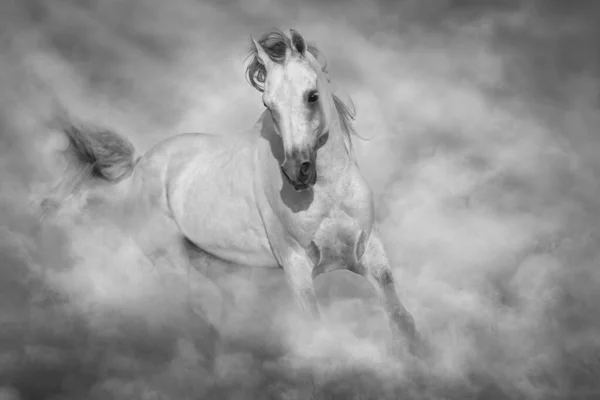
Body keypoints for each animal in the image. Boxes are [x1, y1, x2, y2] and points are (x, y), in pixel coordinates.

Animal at [43, 29, 418, 358]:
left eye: (312, 95)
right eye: (269, 104)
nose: (297, 171)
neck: (328, 195)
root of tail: (140, 167)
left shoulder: (370, 254)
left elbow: (403, 323)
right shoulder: (297, 268)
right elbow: (319, 334)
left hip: (222, 268)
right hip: (171, 263)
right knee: (190, 319)